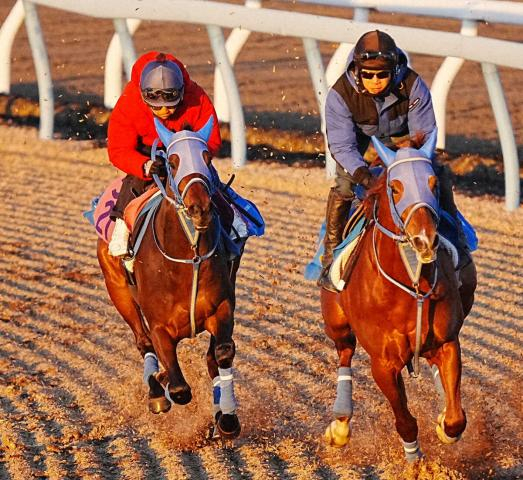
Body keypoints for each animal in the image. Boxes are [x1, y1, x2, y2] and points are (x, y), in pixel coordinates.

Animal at [97, 116, 242, 442]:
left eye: (207, 158)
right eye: (172, 163)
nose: (200, 208)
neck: (189, 259)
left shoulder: (222, 307)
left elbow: (222, 354)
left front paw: (227, 418)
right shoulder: (160, 325)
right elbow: (178, 388)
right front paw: (163, 383)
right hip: (119, 291)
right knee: (142, 341)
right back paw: (155, 391)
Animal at [322, 129, 476, 460]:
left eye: (433, 184)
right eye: (395, 188)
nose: (424, 239)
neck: (411, 287)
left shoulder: (448, 342)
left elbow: (456, 419)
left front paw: (444, 425)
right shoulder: (383, 363)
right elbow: (405, 421)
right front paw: (416, 461)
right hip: (336, 324)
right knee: (345, 354)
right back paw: (340, 425)